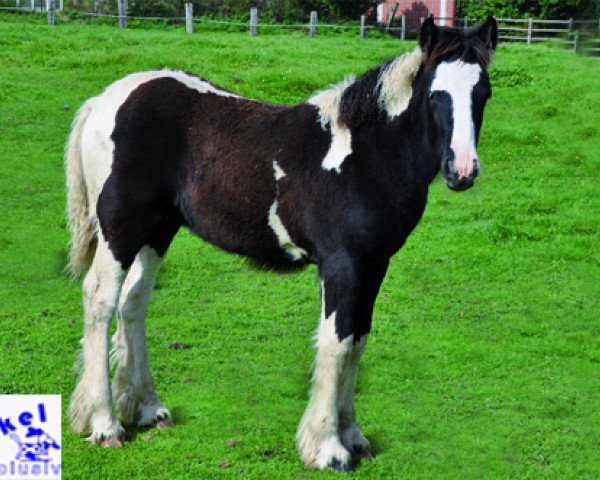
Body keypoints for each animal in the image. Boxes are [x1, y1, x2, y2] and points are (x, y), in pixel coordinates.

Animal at [64, 15, 496, 472]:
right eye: (435, 95)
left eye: (483, 92)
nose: (462, 170)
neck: (366, 155)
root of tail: (102, 100)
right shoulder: (342, 263)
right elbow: (336, 342)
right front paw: (327, 447)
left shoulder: (375, 263)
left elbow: (357, 340)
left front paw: (353, 437)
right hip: (120, 229)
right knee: (101, 299)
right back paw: (104, 424)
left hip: (158, 229)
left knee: (133, 301)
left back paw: (147, 408)